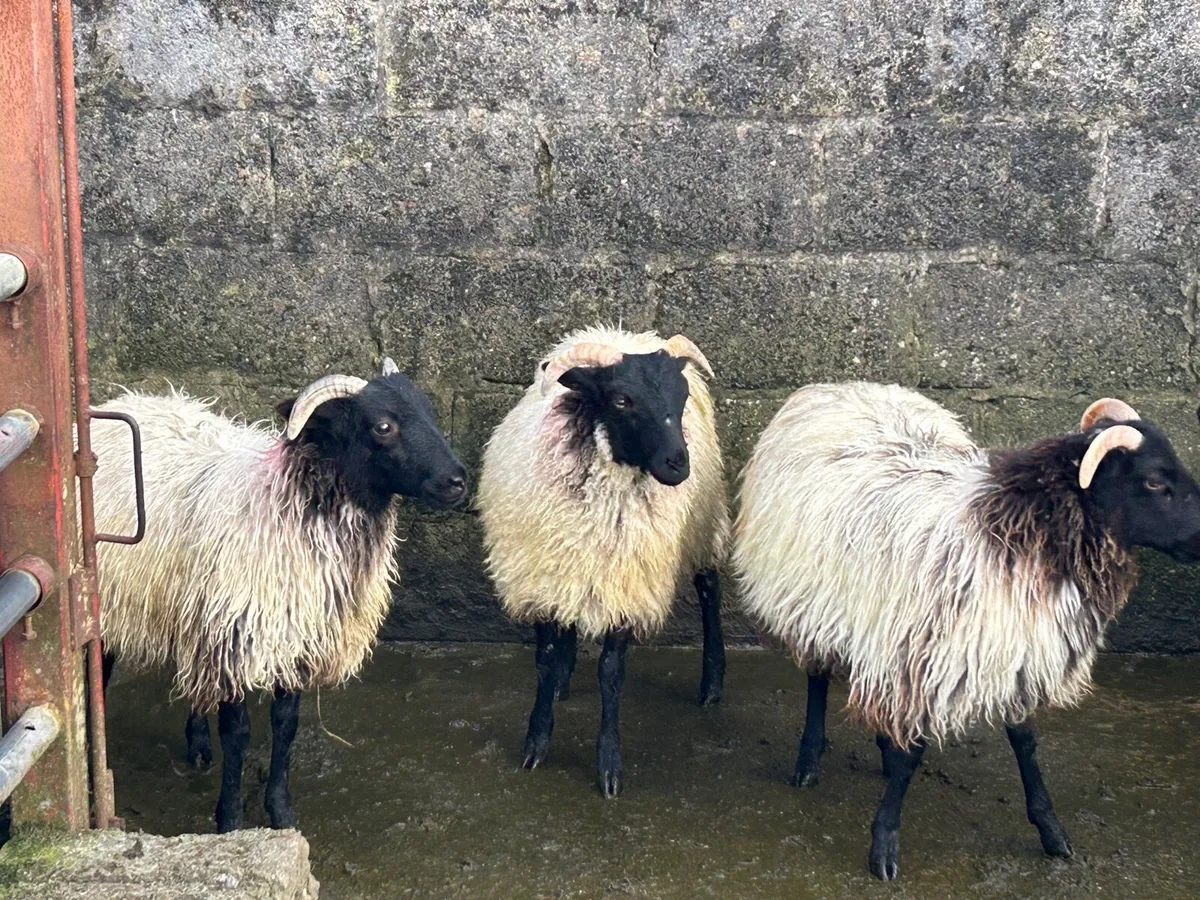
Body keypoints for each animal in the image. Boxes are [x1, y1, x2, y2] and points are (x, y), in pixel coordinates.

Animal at [94, 359, 468, 832]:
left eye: (429, 411)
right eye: (383, 426)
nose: (458, 482)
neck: (289, 500)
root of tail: (126, 399)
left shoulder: (298, 638)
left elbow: (285, 725)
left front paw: (281, 810)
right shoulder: (235, 636)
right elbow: (238, 735)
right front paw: (230, 819)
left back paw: (197, 742)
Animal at [477, 326, 729, 797]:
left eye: (682, 394)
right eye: (622, 400)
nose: (678, 465)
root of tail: (622, 333)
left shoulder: (625, 584)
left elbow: (612, 673)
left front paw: (608, 765)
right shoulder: (540, 575)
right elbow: (544, 657)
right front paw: (536, 740)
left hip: (704, 522)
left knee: (708, 588)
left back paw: (712, 682)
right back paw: (563, 678)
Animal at [732, 382, 1200, 880]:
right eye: (1155, 482)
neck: (1018, 531)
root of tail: (835, 387)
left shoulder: (1012, 647)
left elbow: (1025, 743)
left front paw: (1050, 829)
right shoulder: (928, 656)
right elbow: (913, 756)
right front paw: (884, 844)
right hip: (807, 598)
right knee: (817, 676)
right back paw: (808, 762)